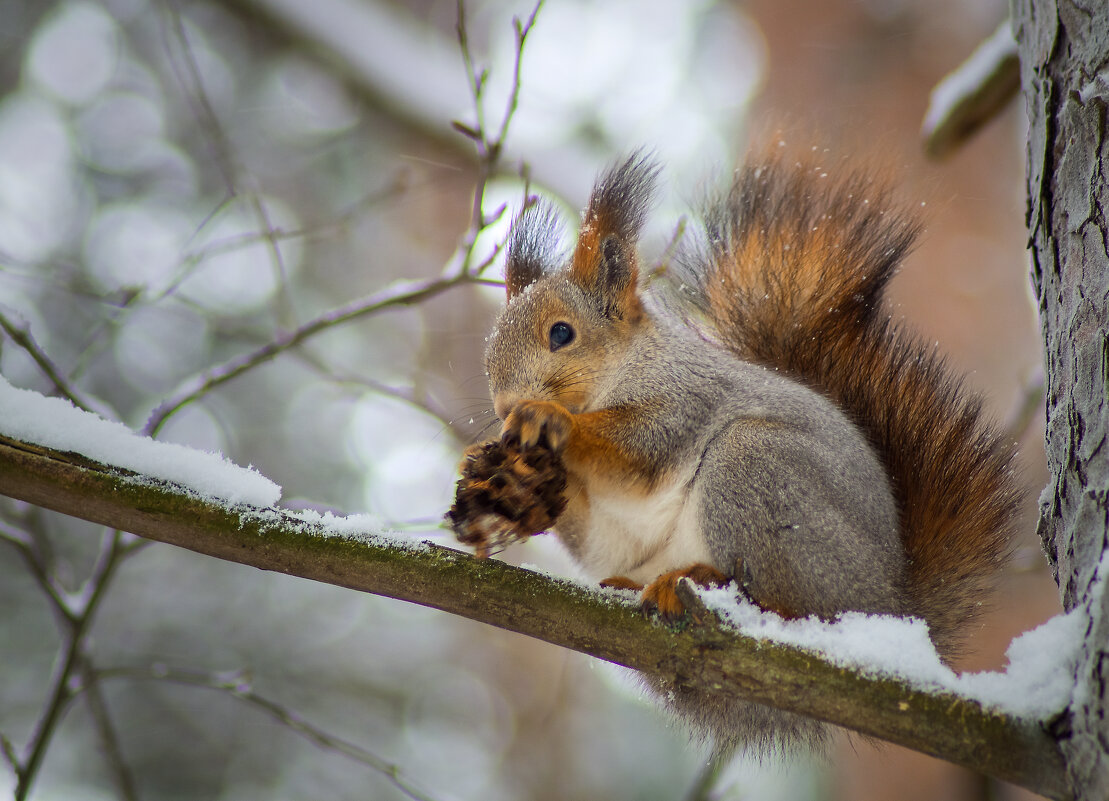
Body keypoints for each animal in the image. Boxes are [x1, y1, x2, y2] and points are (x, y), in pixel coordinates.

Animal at [445, 148, 1015, 749]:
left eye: (561, 333)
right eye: (491, 344)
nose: (506, 405)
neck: (627, 370)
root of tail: (890, 610)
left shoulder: (685, 403)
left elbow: (638, 454)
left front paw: (552, 421)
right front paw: (490, 471)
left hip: (758, 474)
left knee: (793, 609)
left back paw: (704, 587)